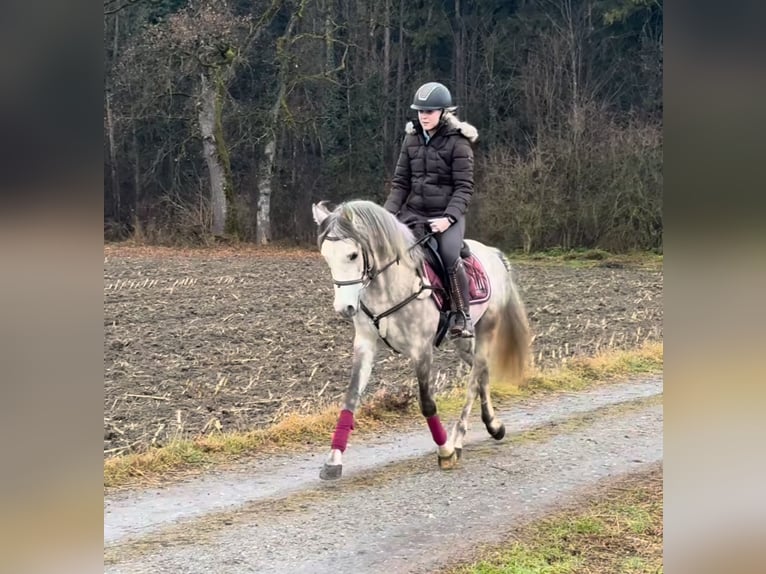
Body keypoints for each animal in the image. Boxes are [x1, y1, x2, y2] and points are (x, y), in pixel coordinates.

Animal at [310, 200, 528, 480]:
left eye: (353, 255)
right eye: (326, 256)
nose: (344, 308)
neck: (390, 286)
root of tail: (493, 254)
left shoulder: (421, 349)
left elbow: (427, 404)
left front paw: (445, 451)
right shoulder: (365, 345)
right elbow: (350, 399)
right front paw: (333, 460)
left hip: (487, 329)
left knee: (473, 380)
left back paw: (458, 439)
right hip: (464, 341)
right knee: (482, 373)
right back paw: (493, 425)